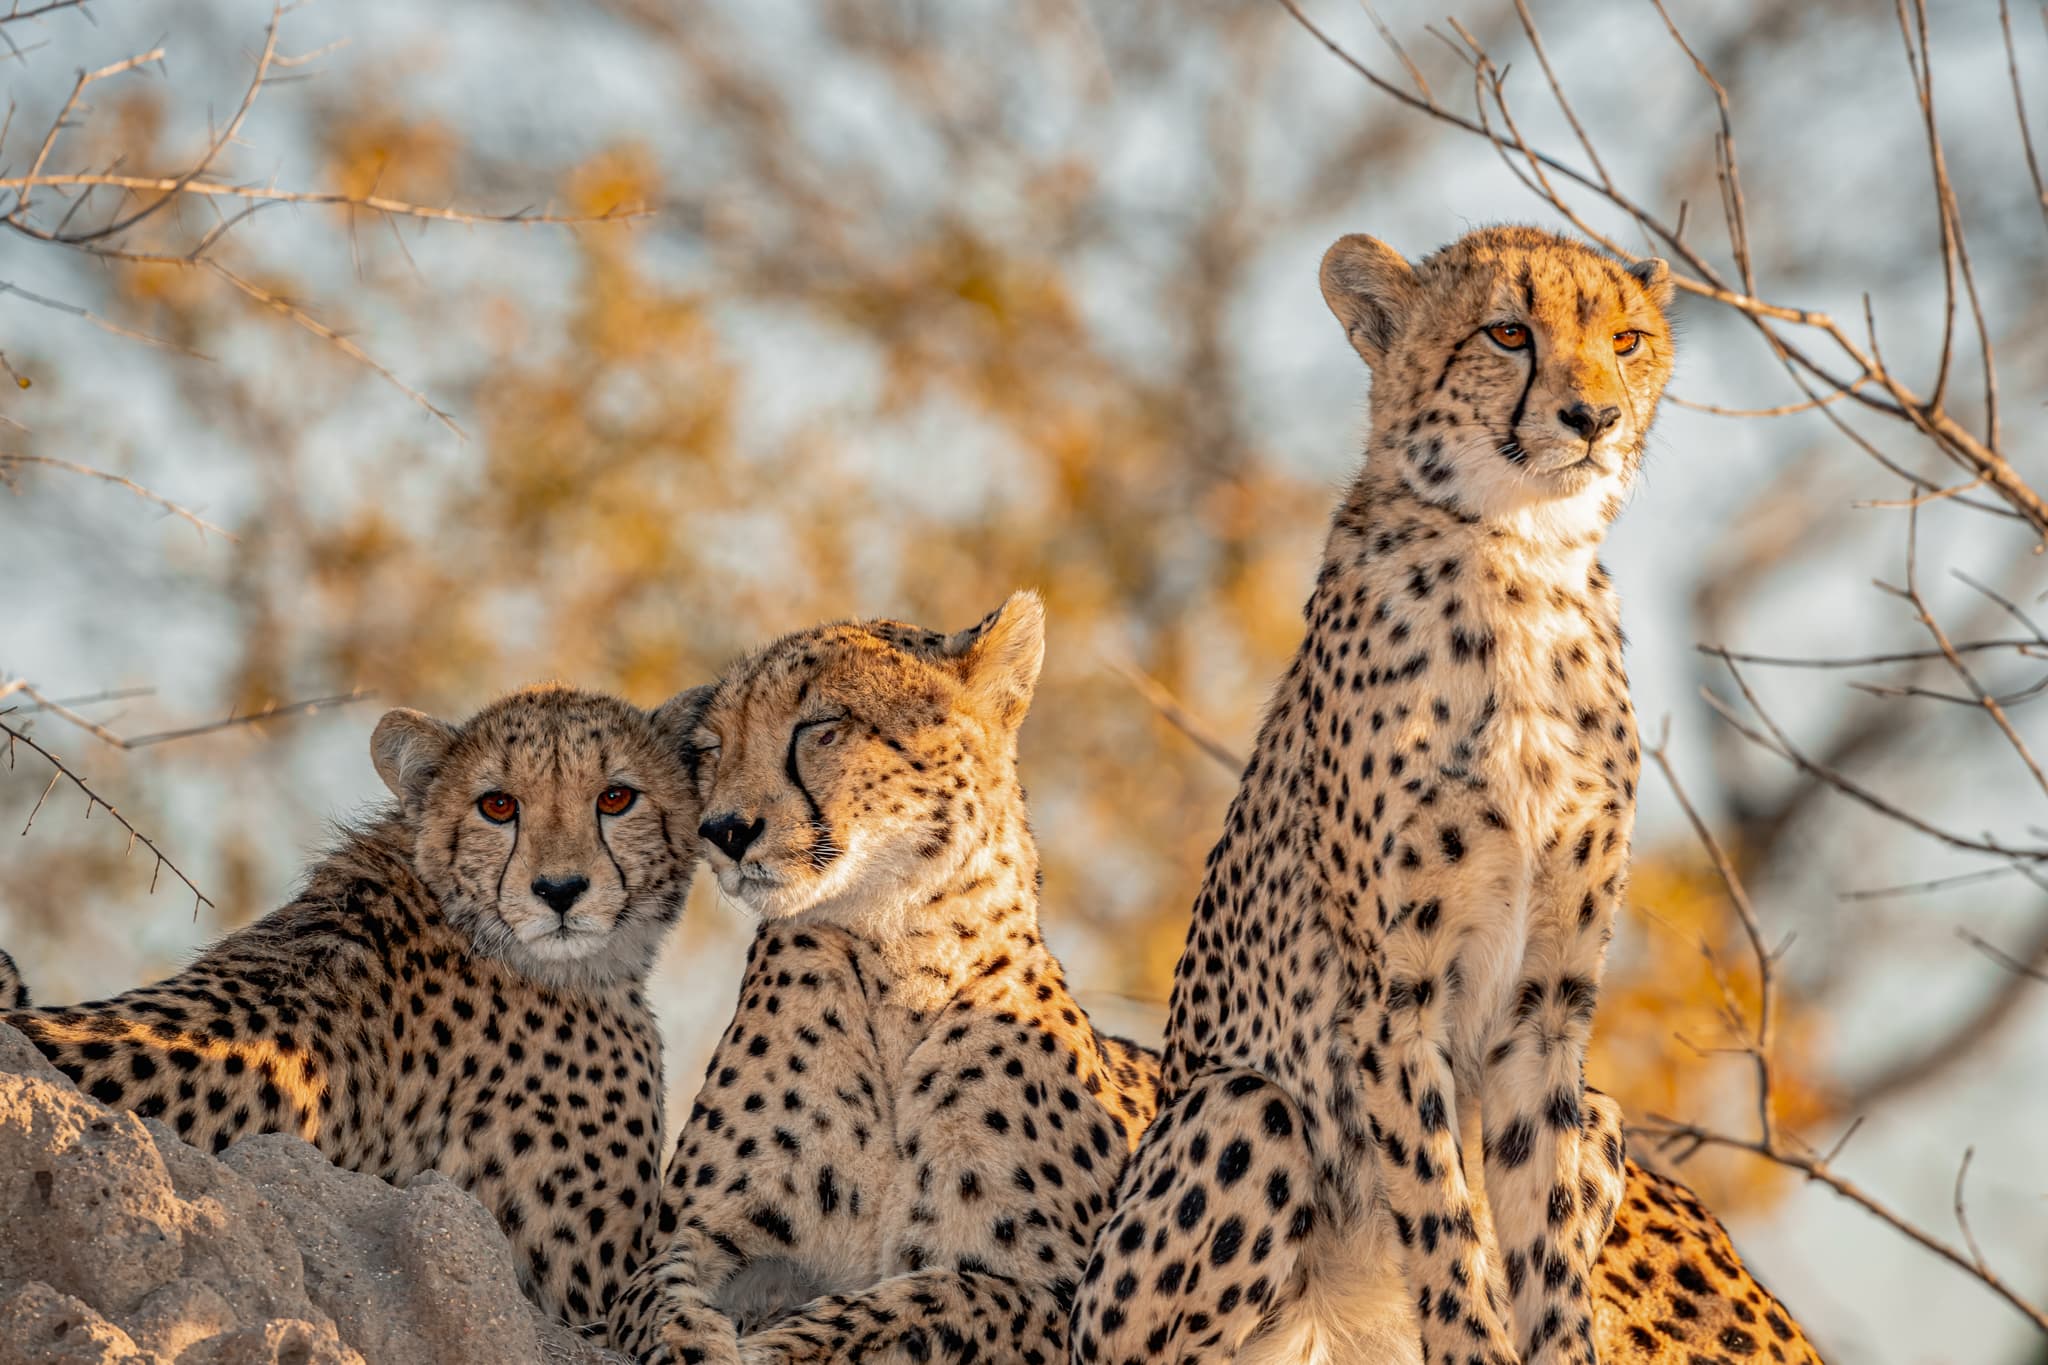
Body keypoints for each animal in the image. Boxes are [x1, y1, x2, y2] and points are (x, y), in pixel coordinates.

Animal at [605, 592, 1162, 1365]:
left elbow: (928, 1298)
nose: (723, 830)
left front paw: (775, 1347)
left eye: (821, 726)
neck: (898, 955)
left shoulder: (1072, 1300)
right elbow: (658, 1293)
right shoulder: (695, 1234)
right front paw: (698, 1342)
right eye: (710, 751)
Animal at [1071, 225, 1823, 1365]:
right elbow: (1442, 1221)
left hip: (1602, 1111)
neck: (1522, 561)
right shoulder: (1393, 1000)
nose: (1595, 419)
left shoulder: (1545, 1013)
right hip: (1239, 1115)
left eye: (1626, 339)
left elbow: (1540, 1244)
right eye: (1507, 333)